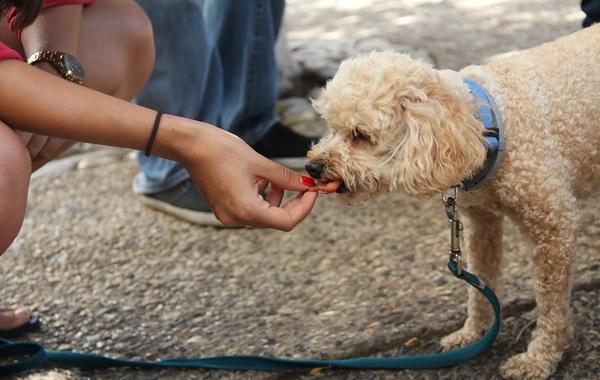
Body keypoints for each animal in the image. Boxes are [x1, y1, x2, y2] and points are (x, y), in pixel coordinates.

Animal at [308, 25, 596, 378]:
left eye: (360, 135)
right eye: (330, 127)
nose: (312, 167)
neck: (490, 124)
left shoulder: (553, 229)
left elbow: (552, 306)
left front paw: (540, 357)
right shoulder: (482, 223)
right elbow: (480, 284)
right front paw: (474, 333)